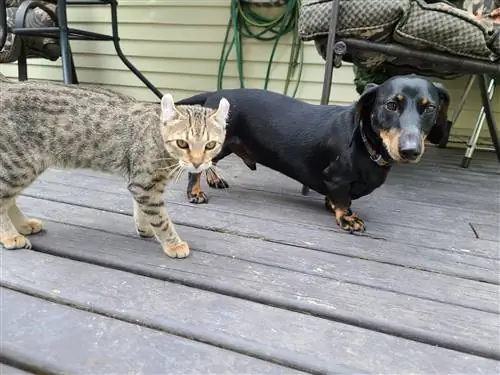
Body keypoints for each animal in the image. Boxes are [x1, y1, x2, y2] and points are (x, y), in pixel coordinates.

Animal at [0, 76, 229, 258]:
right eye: (182, 143)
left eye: (210, 145)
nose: (197, 163)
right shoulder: (145, 185)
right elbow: (161, 218)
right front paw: (173, 243)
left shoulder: (141, 183)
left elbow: (141, 209)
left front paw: (144, 228)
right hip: (19, 165)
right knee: (3, 199)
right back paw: (10, 235)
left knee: (10, 199)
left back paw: (23, 225)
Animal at [175, 76, 450, 234]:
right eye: (391, 105)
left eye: (430, 108)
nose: (410, 150)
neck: (364, 143)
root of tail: (215, 94)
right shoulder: (337, 178)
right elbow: (343, 201)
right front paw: (347, 218)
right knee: (194, 166)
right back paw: (195, 192)